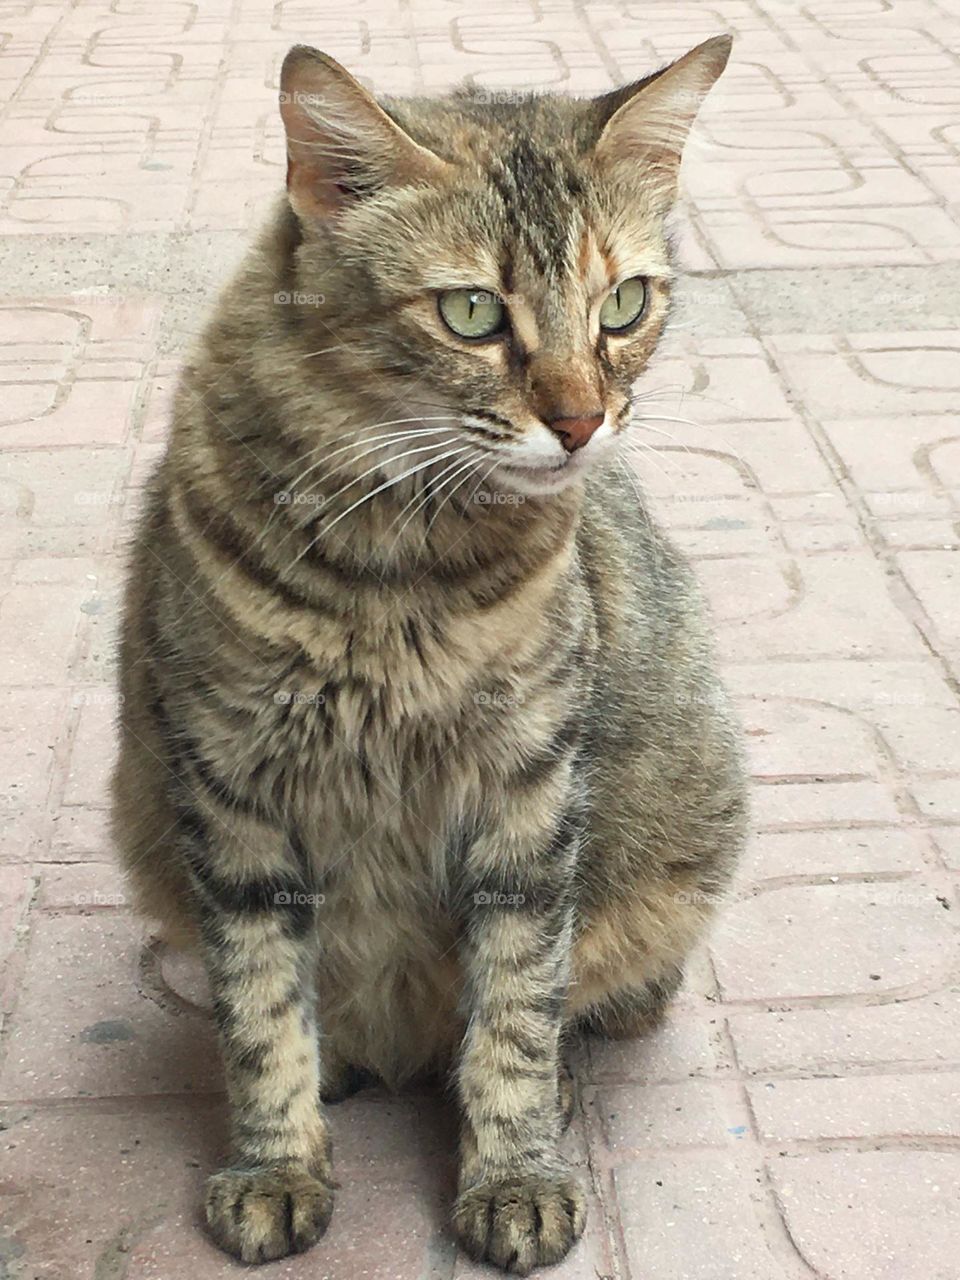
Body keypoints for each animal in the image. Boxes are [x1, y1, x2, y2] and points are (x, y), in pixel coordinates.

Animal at [110, 35, 742, 1274]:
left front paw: (513, 1171)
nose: (581, 422)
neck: (397, 571)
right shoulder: (229, 788)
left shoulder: (528, 793)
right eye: (470, 312)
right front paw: (277, 1161)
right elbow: (260, 1009)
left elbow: (514, 1012)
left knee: (596, 995)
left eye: (624, 304)